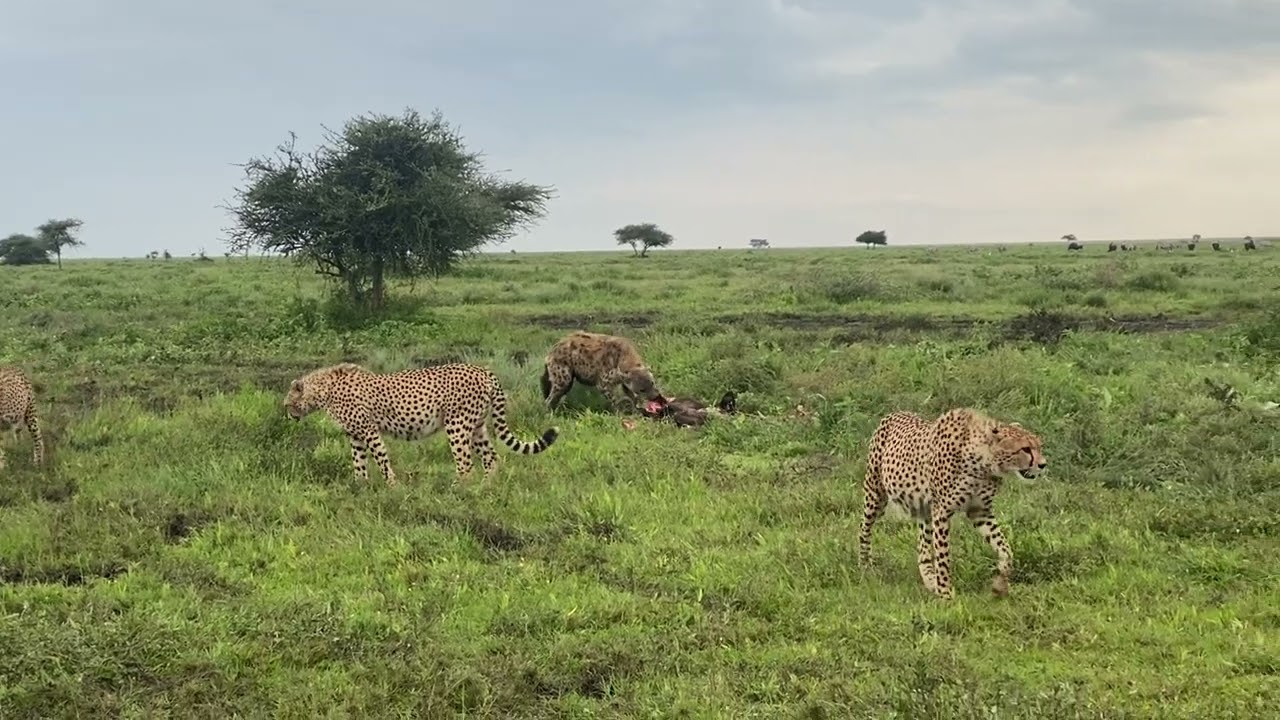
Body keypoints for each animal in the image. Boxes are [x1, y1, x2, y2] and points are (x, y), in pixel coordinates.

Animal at [284, 362, 558, 484]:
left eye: (287, 404)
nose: (287, 415)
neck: (324, 390)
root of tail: (483, 370)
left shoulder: (369, 430)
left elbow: (381, 458)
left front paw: (392, 486)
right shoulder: (355, 435)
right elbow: (359, 463)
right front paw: (360, 486)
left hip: (457, 426)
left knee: (466, 463)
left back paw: (459, 489)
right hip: (478, 426)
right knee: (491, 457)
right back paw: (487, 486)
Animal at [858, 407, 1047, 600]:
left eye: (1039, 447)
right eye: (1025, 449)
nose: (1043, 465)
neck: (983, 464)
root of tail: (895, 412)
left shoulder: (979, 511)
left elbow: (1005, 549)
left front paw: (999, 586)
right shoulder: (942, 511)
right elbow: (943, 557)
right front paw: (946, 594)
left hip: (925, 509)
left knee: (923, 548)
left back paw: (929, 580)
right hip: (876, 494)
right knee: (864, 528)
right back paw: (865, 565)